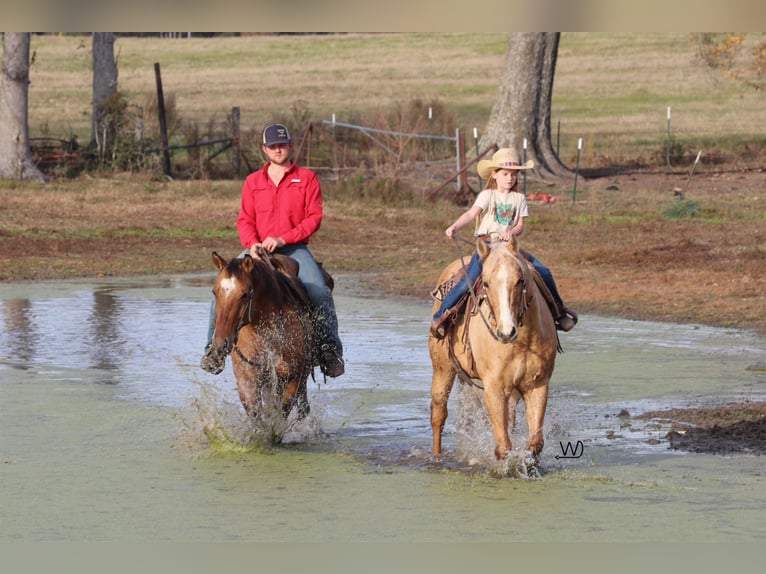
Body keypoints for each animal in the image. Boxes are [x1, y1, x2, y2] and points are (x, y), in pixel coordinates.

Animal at [207, 251, 320, 424]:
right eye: (214, 291)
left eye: (244, 294)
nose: (220, 344)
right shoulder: (247, 380)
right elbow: (257, 415)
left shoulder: (292, 380)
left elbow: (281, 414)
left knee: (303, 408)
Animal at [428, 236, 560, 466]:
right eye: (487, 283)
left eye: (520, 281)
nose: (506, 332)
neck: (522, 341)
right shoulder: (494, 388)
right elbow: (503, 447)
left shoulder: (537, 385)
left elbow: (535, 444)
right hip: (443, 369)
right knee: (439, 414)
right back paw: (436, 457)